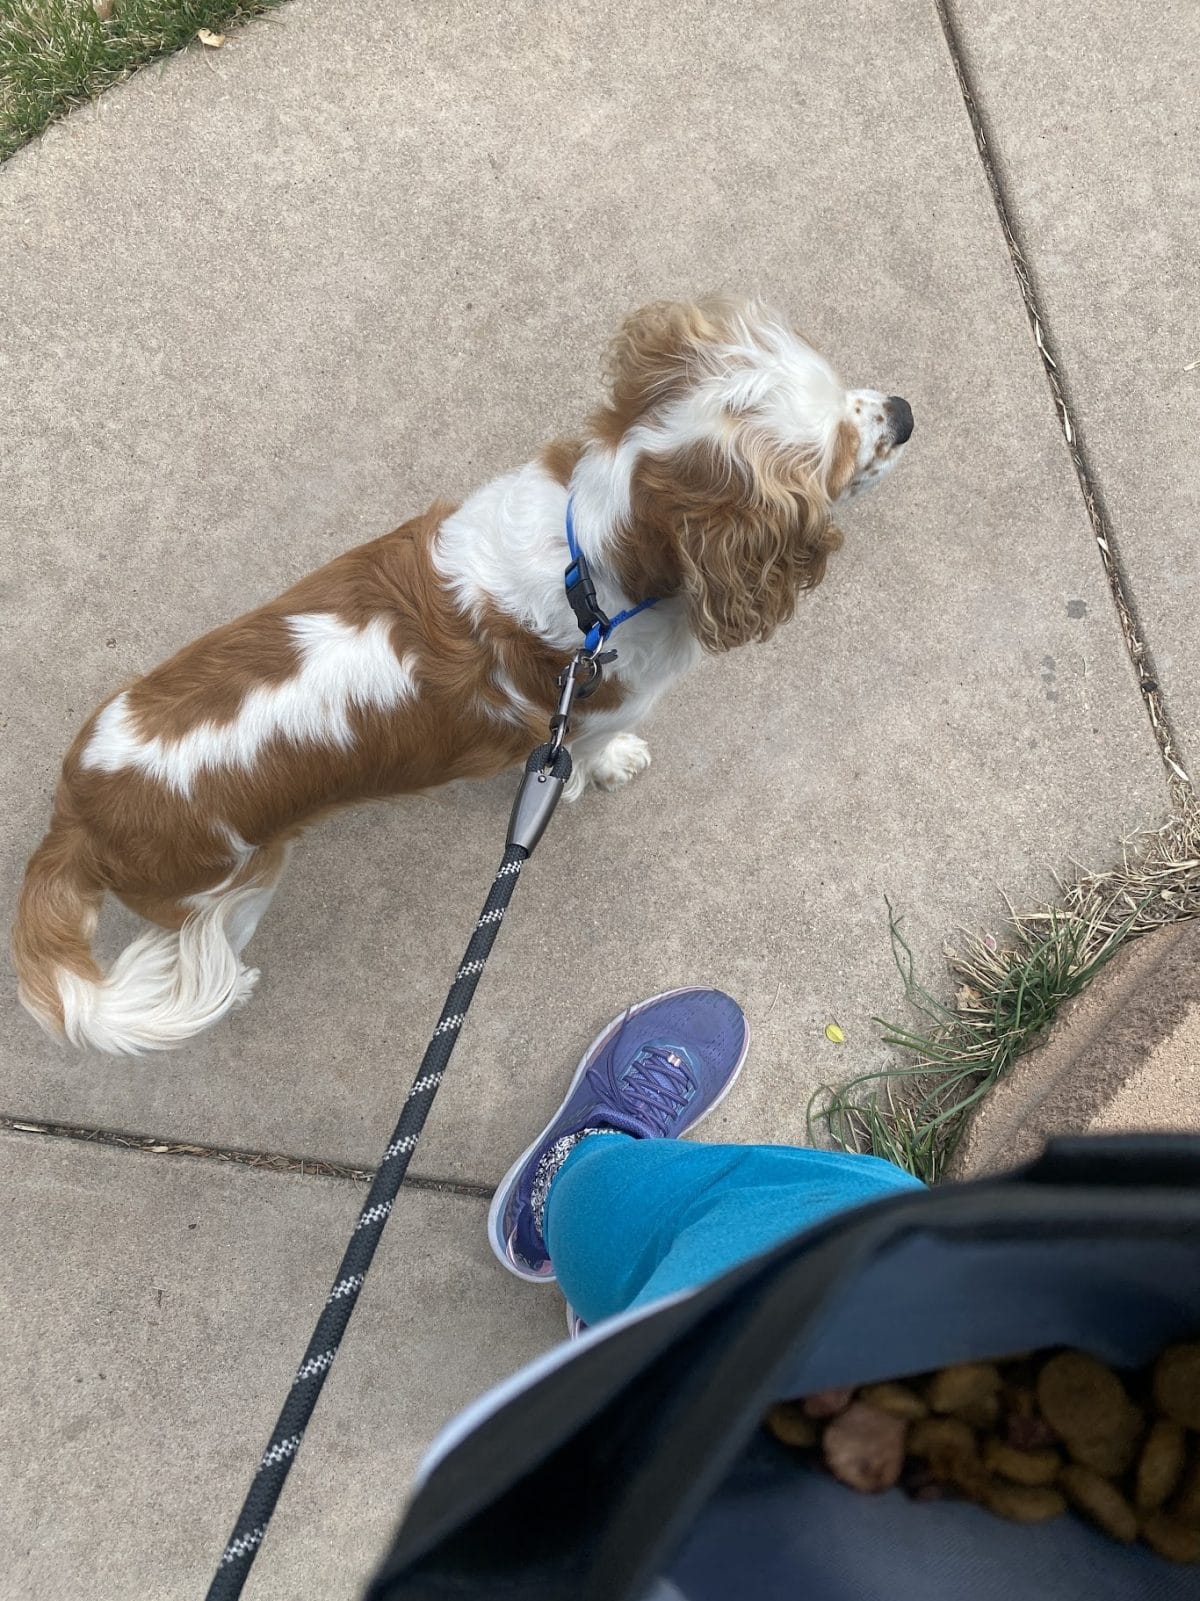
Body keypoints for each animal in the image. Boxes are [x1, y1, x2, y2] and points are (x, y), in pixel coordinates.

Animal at [14, 297, 915, 1050]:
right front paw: (613, 769)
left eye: (847, 394)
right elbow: (594, 755)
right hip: (232, 895)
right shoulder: (587, 719)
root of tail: (79, 813)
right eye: (838, 452)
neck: (594, 567)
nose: (904, 415)